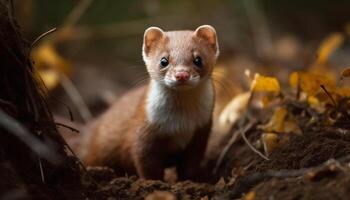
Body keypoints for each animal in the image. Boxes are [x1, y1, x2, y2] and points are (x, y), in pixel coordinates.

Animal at [84, 24, 219, 180]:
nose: (181, 75)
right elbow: (146, 163)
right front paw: (153, 182)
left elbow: (191, 162)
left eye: (198, 59)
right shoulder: (144, 129)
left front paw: (193, 178)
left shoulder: (201, 132)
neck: (181, 123)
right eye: (164, 60)